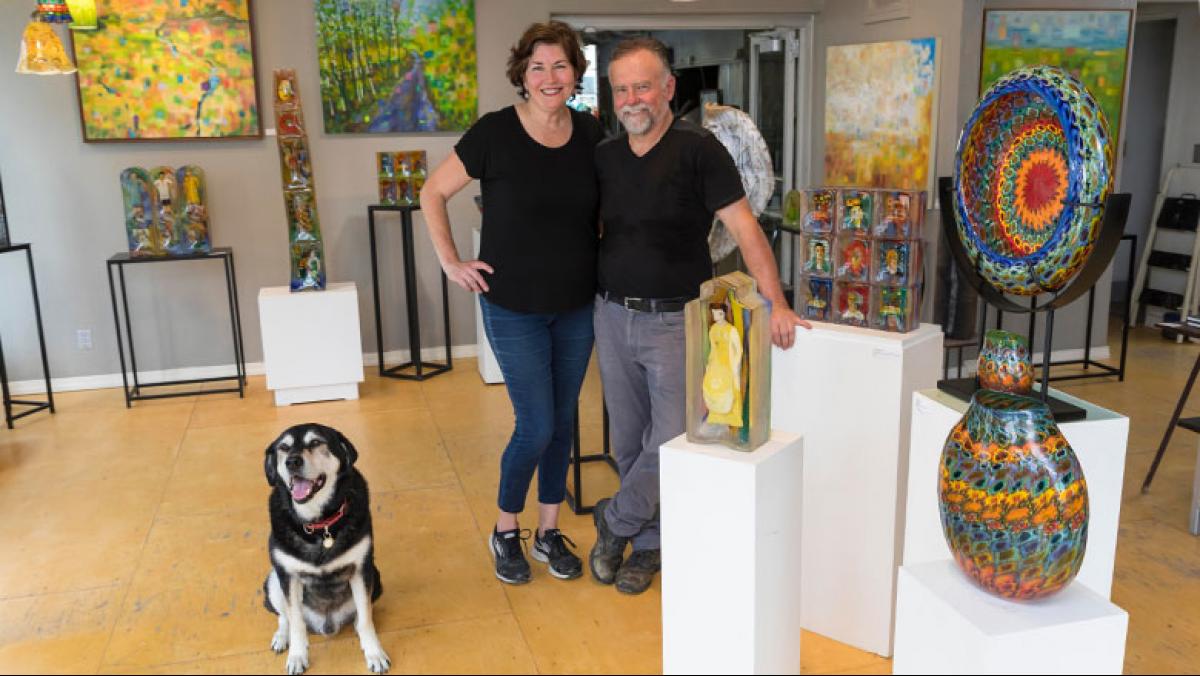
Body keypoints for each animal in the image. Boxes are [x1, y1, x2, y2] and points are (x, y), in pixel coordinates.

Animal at [262, 422, 388, 672]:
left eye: (315, 442)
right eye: (283, 447)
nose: (292, 462)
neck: (319, 525)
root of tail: (326, 624)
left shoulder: (361, 568)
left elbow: (366, 617)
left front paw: (374, 652)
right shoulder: (287, 575)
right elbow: (296, 622)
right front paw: (297, 656)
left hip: (375, 577)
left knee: (362, 612)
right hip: (272, 581)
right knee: (285, 616)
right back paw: (282, 637)